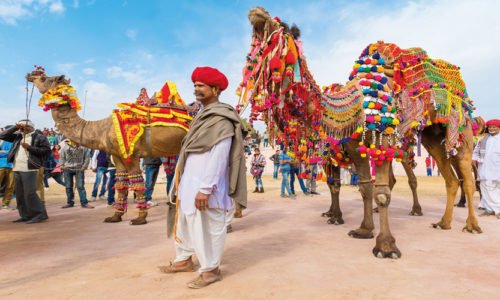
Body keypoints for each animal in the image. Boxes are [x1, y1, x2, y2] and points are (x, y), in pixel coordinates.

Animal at [27, 68, 191, 225]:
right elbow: (121, 184)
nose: (30, 75)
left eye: (44, 78)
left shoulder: (132, 156)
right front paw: (115, 216)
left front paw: (140, 219)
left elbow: (137, 184)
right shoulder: (117, 156)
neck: (102, 129)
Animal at [238, 6, 480, 258]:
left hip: (457, 129)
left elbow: (380, 192)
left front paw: (385, 246)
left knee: (463, 177)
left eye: (282, 28)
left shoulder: (381, 140)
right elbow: (362, 187)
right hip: (432, 136)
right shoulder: (353, 149)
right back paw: (443, 222)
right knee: (450, 179)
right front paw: (362, 229)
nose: (256, 13)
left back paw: (468, 224)